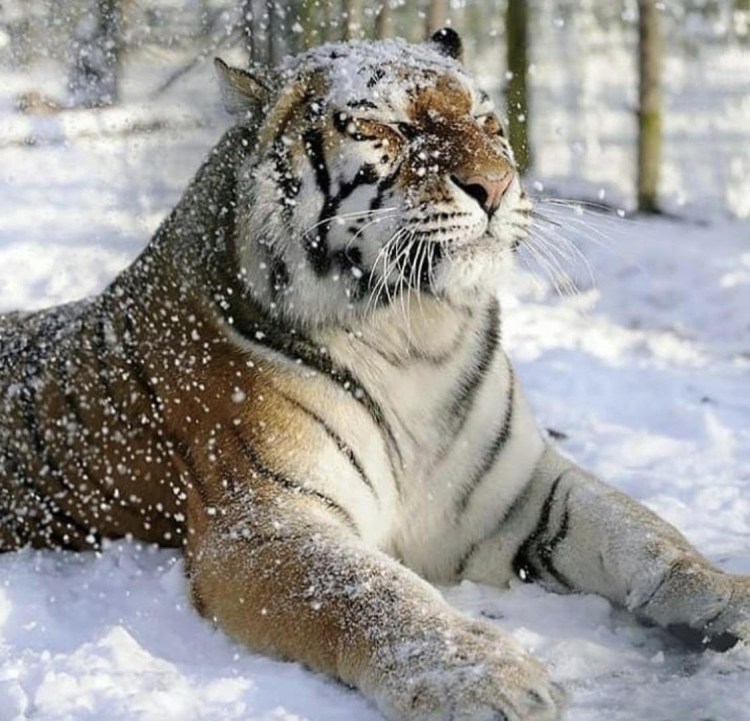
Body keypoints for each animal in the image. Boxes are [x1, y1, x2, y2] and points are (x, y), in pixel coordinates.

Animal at [1, 28, 748, 721]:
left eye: (487, 122)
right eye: (391, 128)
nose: (498, 186)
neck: (417, 337)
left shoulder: (520, 490)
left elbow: (647, 535)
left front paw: (731, 596)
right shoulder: (264, 523)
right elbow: (377, 596)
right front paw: (489, 679)